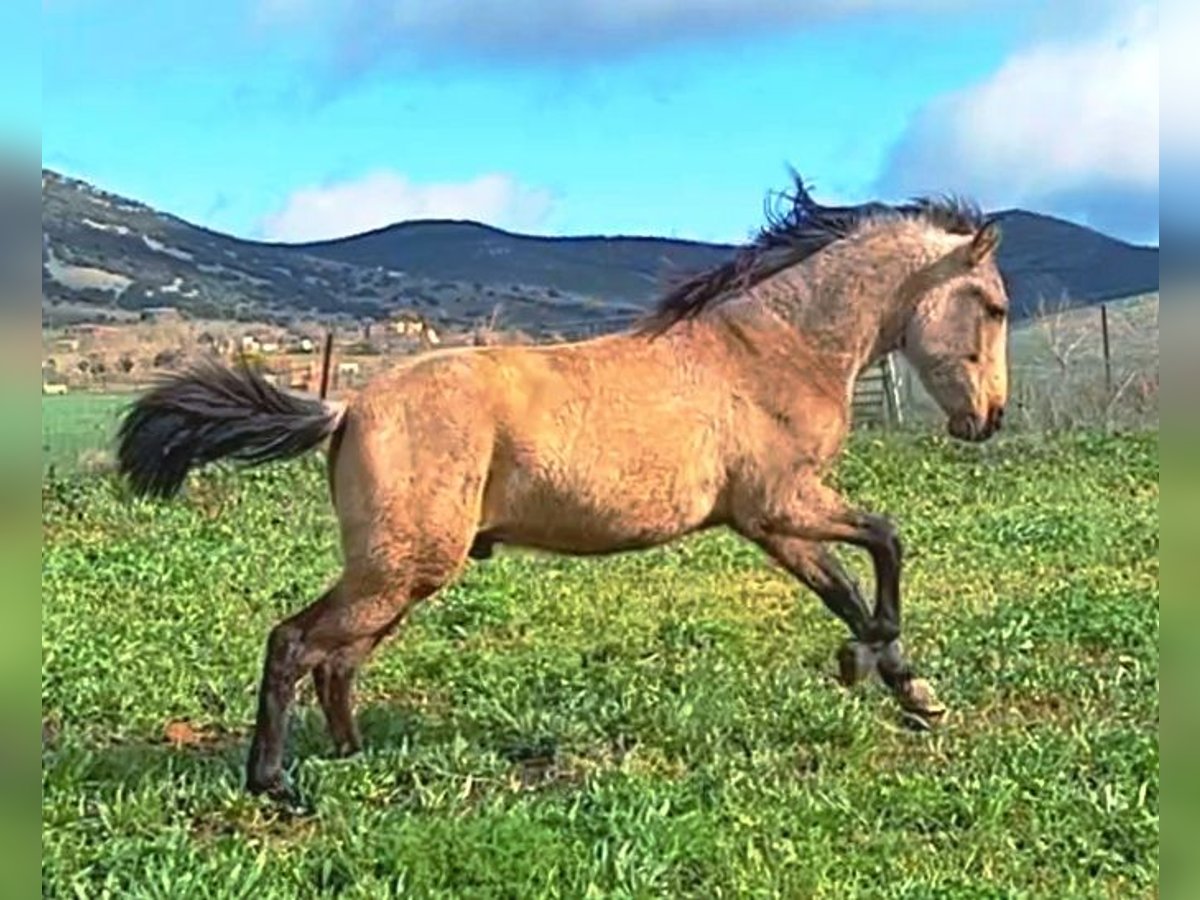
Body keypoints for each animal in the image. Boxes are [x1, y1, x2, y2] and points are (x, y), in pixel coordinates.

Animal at [117, 174, 1008, 801]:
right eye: (994, 306)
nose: (990, 419)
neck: (769, 351)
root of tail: (349, 408)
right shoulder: (784, 502)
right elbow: (887, 541)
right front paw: (876, 667)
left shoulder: (770, 522)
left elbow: (848, 590)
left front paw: (906, 686)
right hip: (403, 568)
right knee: (295, 643)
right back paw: (277, 785)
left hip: (401, 574)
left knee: (337, 661)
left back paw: (352, 757)